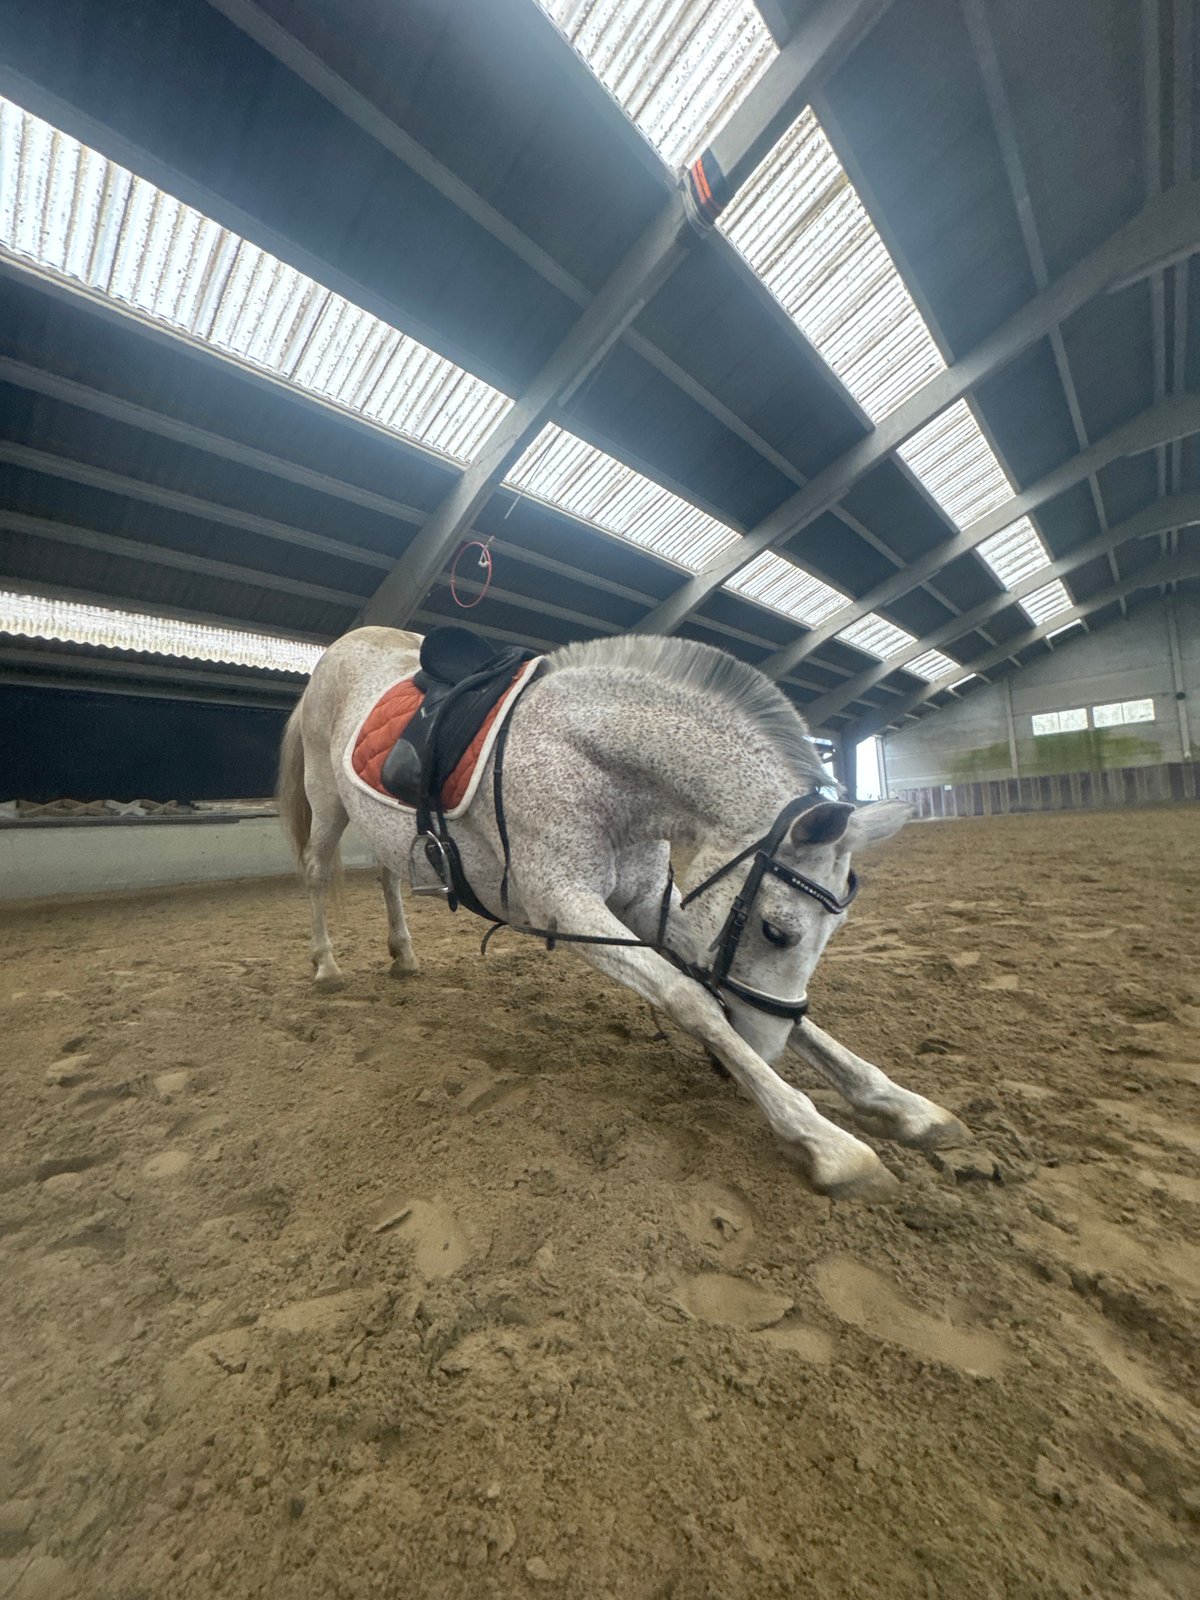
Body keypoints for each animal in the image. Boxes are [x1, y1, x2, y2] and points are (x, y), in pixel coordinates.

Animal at [276, 625, 968, 1201]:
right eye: (777, 931)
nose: (763, 1046)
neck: (596, 767)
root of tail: (339, 649)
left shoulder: (642, 903)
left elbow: (775, 1013)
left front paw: (901, 1105)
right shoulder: (567, 906)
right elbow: (691, 999)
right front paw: (828, 1142)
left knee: (388, 876)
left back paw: (404, 956)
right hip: (328, 804)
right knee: (315, 874)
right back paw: (326, 967)